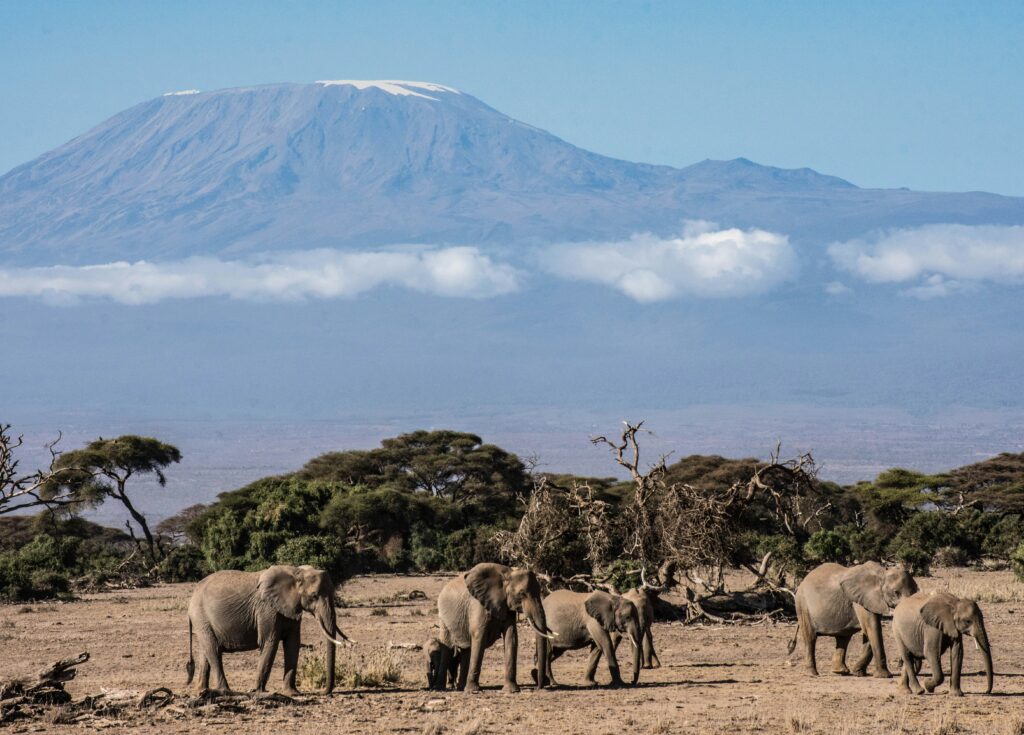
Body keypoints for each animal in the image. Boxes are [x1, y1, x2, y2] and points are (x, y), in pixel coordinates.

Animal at [186, 565, 351, 695]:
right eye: (314, 596)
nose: (323, 692)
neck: (296, 572)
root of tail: (193, 596)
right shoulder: (266, 609)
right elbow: (269, 642)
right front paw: (259, 691)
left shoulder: (290, 608)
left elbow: (293, 644)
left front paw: (293, 693)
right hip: (201, 617)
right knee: (213, 649)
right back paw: (225, 691)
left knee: (206, 651)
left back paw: (202, 690)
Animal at [436, 562, 554, 693]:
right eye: (522, 594)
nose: (538, 687)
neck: (507, 573)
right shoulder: (478, 605)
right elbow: (479, 637)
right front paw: (474, 691)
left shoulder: (507, 605)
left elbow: (511, 637)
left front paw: (512, 690)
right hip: (443, 618)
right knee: (447, 648)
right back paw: (442, 688)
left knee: (467, 650)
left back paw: (461, 688)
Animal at [789, 561, 918, 678]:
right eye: (896, 592)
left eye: (915, 591)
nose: (900, 664)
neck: (882, 572)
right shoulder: (863, 599)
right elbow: (872, 628)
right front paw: (884, 676)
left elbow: (869, 631)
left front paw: (858, 673)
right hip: (802, 605)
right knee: (810, 637)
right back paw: (812, 674)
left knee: (843, 638)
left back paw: (840, 672)